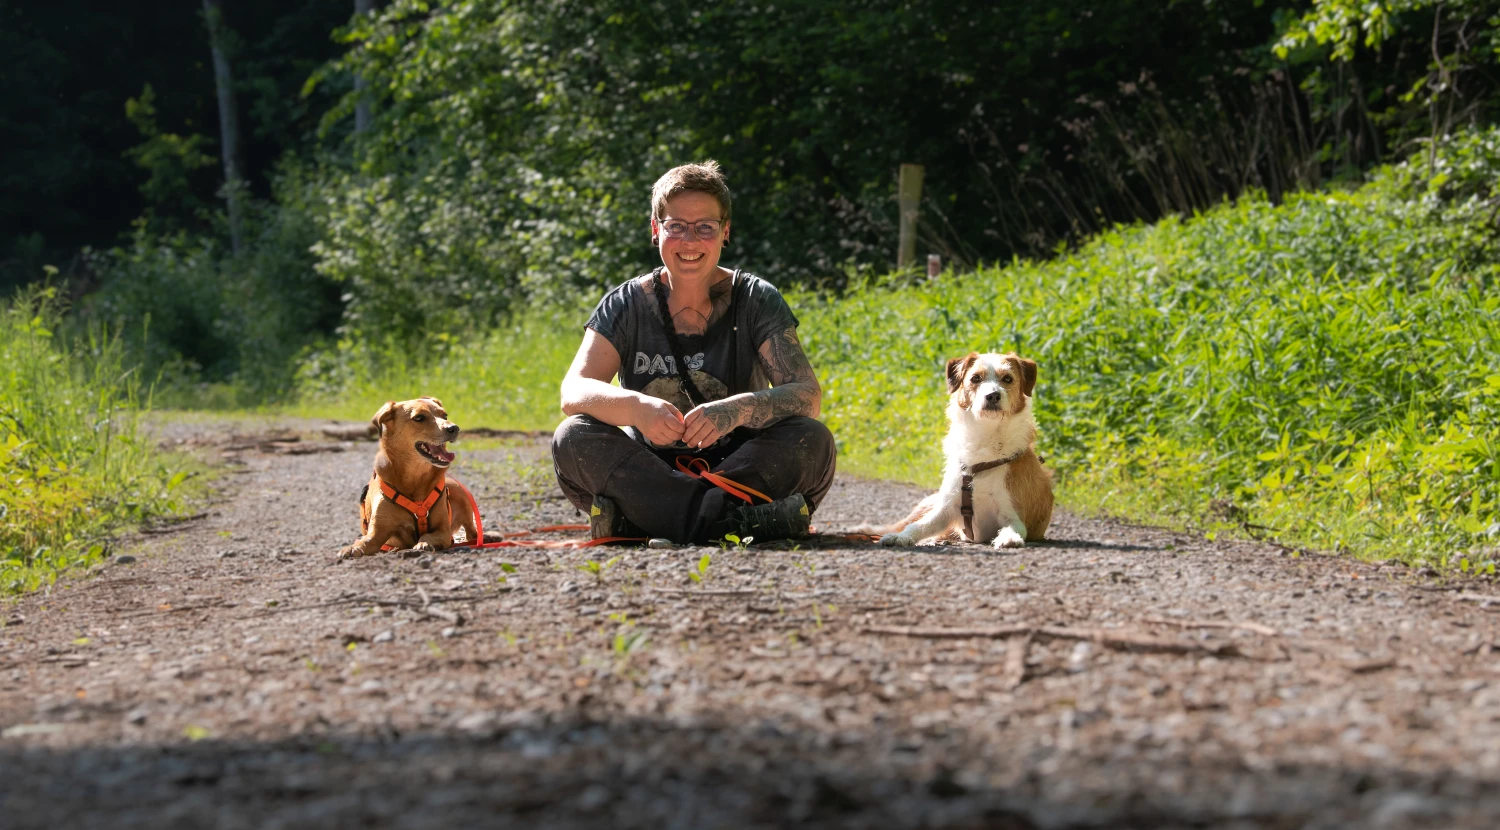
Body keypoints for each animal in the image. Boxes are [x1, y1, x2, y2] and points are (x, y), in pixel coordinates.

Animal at [337, 399, 477, 561]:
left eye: (445, 415)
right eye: (419, 418)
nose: (454, 428)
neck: (414, 476)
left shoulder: (444, 531)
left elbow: (429, 536)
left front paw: (424, 543)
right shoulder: (377, 532)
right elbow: (365, 541)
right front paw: (351, 548)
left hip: (461, 494)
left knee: (472, 533)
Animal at [876, 351, 1050, 549]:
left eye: (1007, 378)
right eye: (975, 378)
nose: (993, 395)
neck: (985, 439)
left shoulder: (1013, 513)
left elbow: (1014, 527)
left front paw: (1009, 538)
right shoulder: (945, 509)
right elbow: (919, 526)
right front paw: (901, 537)